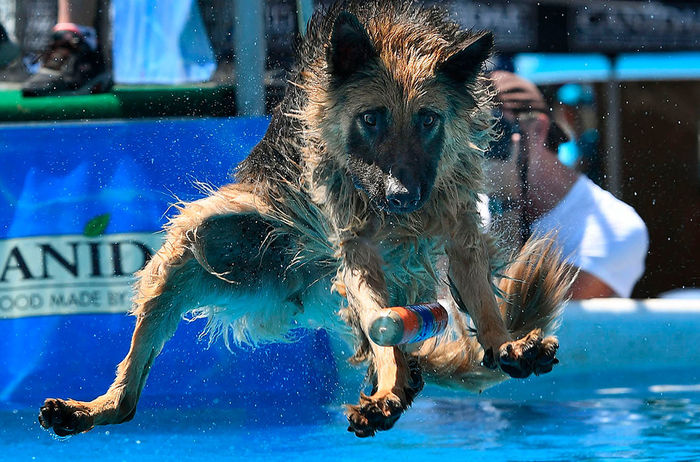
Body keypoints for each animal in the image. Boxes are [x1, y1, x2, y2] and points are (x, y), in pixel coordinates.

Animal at [37, 1, 576, 438]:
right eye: (371, 119)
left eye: (428, 120)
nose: (402, 197)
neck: (397, 34)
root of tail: (303, 295)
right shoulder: (355, 242)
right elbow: (380, 319)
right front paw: (388, 388)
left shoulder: (457, 221)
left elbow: (480, 298)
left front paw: (504, 343)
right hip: (199, 239)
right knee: (131, 390)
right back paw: (92, 409)